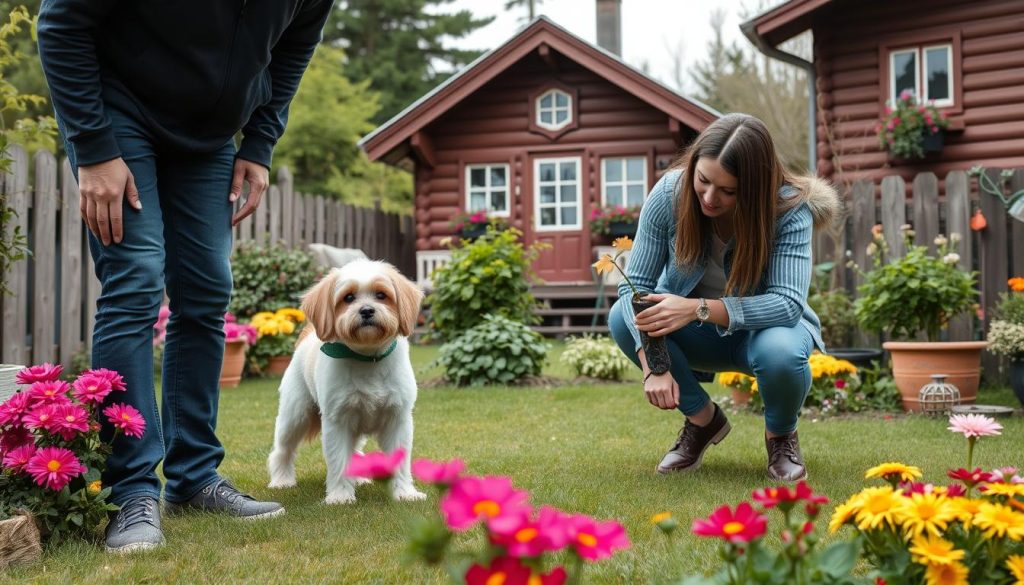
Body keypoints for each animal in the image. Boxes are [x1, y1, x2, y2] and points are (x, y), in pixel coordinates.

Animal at [266, 260, 425, 504]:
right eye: (348, 297)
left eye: (381, 295)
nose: (367, 310)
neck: (367, 358)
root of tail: (308, 335)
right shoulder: (337, 421)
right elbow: (338, 460)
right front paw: (340, 496)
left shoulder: (398, 418)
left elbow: (399, 462)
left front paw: (404, 493)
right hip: (295, 416)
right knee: (283, 449)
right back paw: (282, 480)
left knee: (354, 452)